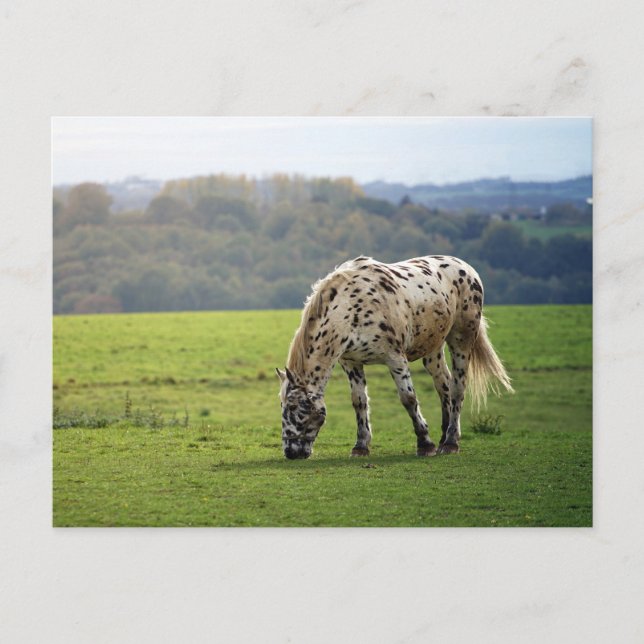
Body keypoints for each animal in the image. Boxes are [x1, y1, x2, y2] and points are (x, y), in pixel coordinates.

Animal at [276, 255, 513, 459]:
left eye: (295, 407)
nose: (290, 452)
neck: (351, 308)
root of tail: (467, 268)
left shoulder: (395, 358)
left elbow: (408, 398)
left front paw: (425, 444)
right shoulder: (351, 363)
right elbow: (359, 401)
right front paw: (361, 446)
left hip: (461, 340)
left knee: (457, 388)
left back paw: (450, 442)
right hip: (433, 349)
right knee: (443, 385)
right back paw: (444, 436)